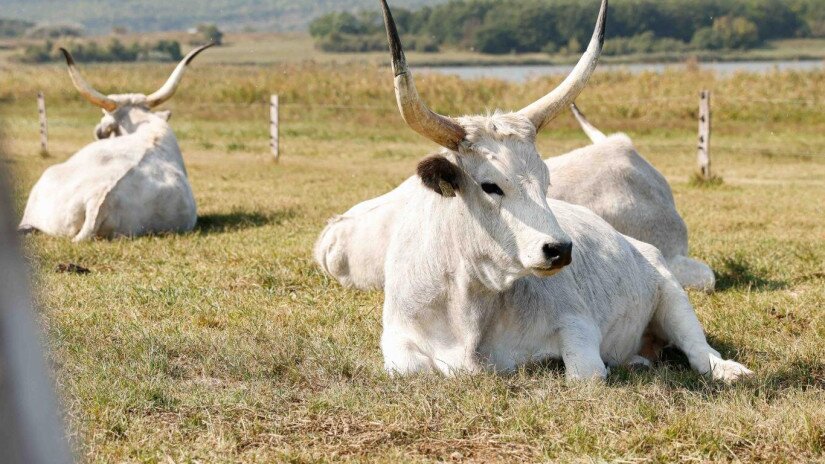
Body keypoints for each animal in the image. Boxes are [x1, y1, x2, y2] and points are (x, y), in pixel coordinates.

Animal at [374, 0, 752, 380]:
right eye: (490, 185)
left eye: (546, 181)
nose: (559, 249)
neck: (467, 305)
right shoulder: (396, 342)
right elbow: (409, 367)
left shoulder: (576, 324)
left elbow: (584, 375)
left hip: (671, 289)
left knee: (699, 347)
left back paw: (728, 370)